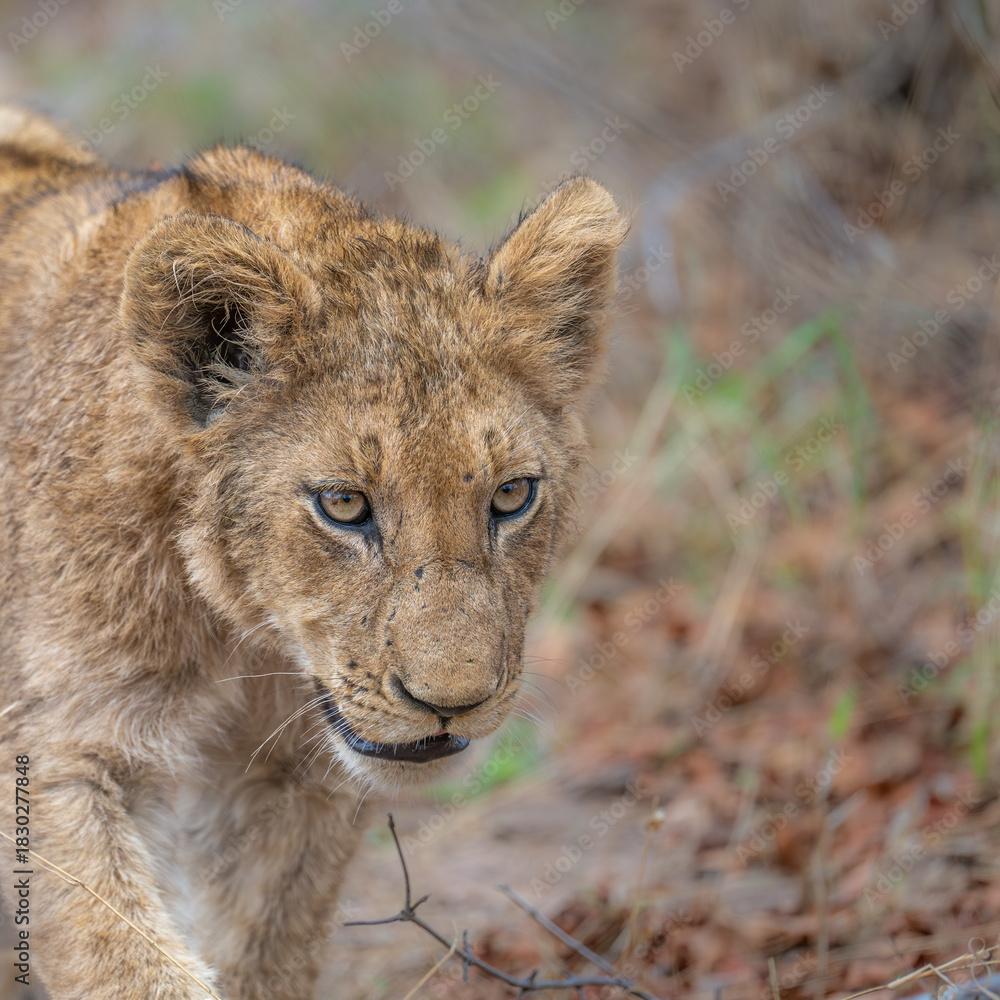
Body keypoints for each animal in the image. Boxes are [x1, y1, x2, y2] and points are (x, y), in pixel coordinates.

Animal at [0, 105, 626, 999]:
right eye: (344, 505)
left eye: (511, 496)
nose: (453, 702)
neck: (239, 636)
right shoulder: (61, 749)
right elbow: (126, 963)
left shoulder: (302, 782)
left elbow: (266, 949)